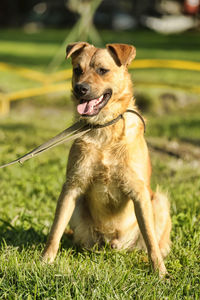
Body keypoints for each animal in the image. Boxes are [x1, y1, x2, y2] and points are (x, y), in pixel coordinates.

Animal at [43, 42, 171, 276]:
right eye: (77, 69)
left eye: (102, 70)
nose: (80, 89)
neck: (105, 130)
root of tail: (112, 244)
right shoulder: (71, 187)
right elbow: (55, 230)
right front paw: (45, 261)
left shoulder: (139, 193)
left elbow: (150, 240)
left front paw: (159, 271)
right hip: (79, 206)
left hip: (158, 201)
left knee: (154, 241)